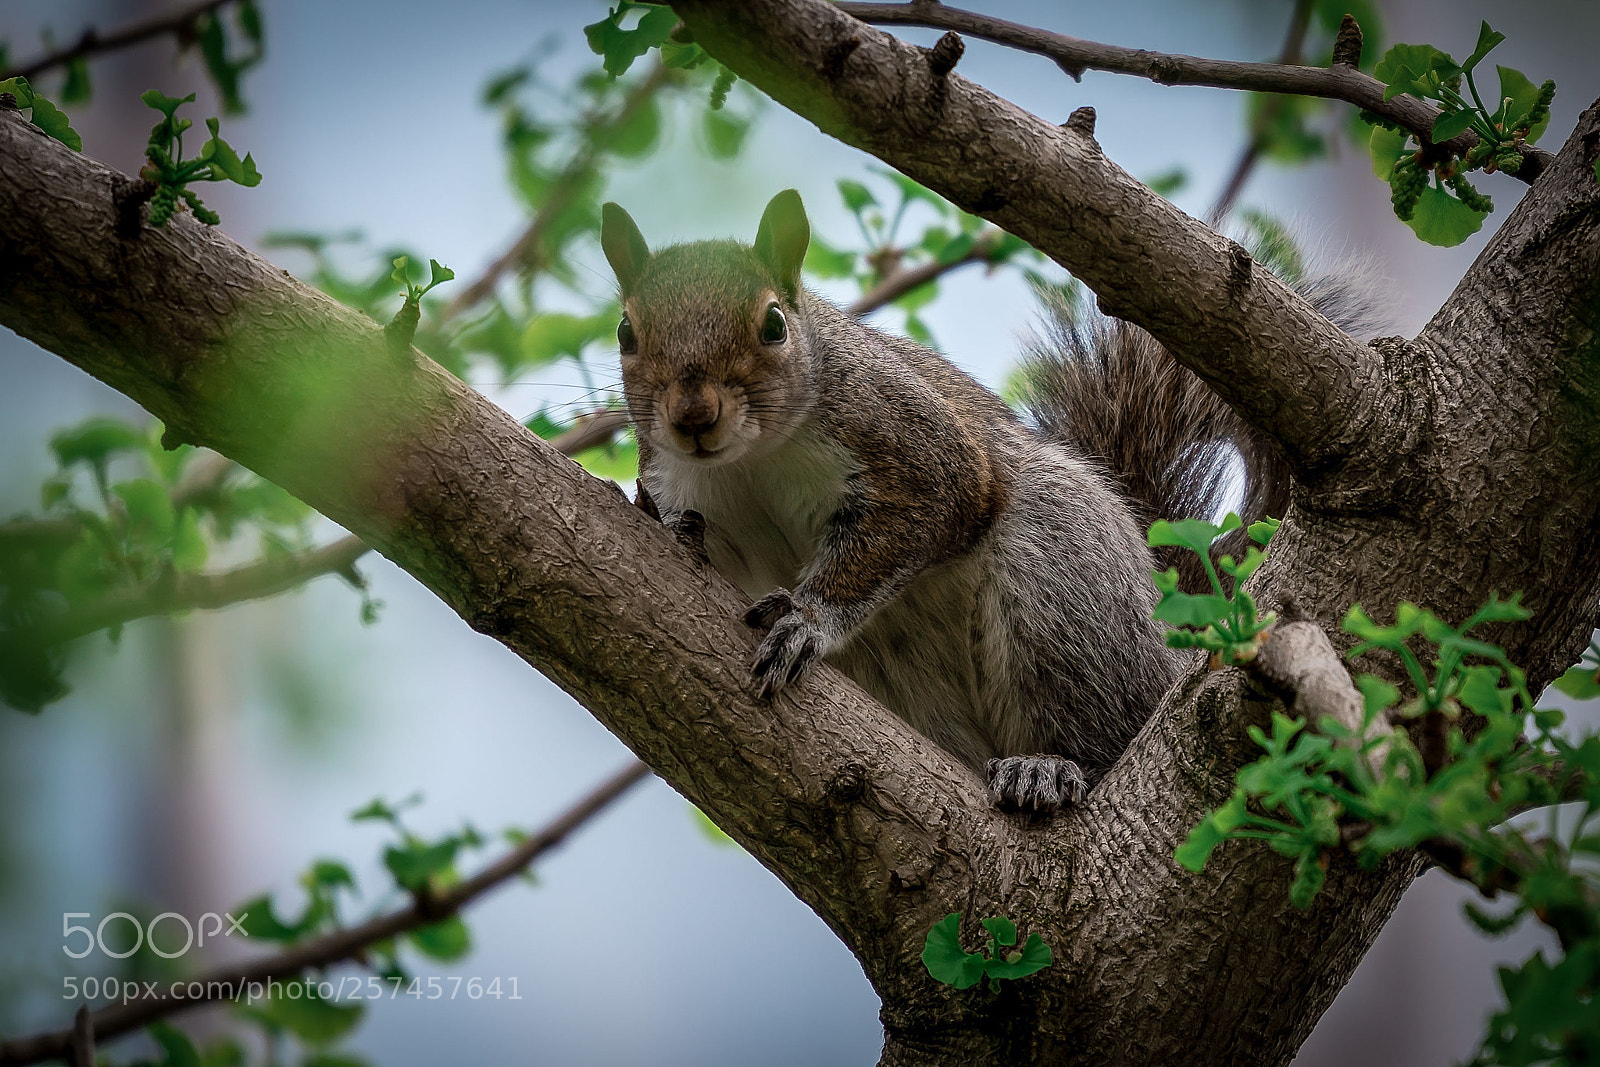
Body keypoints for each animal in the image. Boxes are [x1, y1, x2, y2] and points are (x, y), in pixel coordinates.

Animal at [600, 189, 1374, 813]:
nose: (694, 416)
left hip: (1063, 580)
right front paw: (661, 523)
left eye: (773, 325)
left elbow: (931, 510)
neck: (751, 461)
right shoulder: (686, 481)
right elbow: (699, 537)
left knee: (1101, 720)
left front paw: (806, 619)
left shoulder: (910, 441)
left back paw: (1049, 768)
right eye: (625, 332)